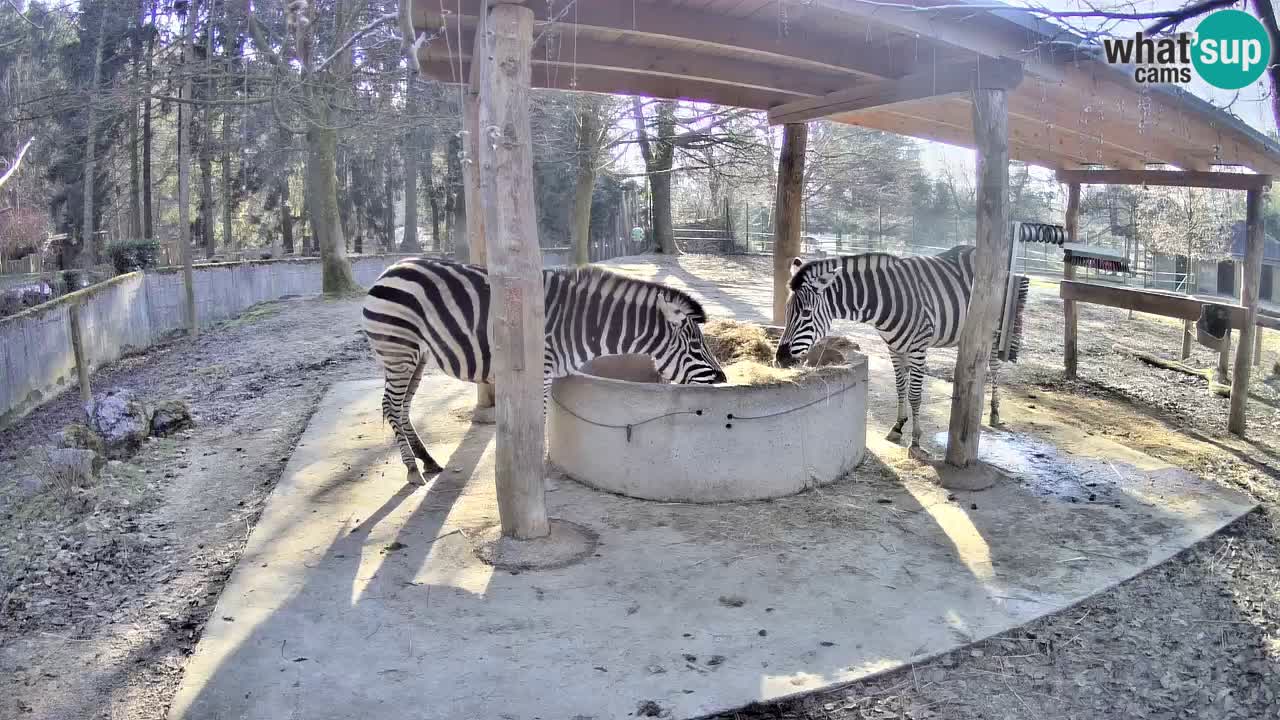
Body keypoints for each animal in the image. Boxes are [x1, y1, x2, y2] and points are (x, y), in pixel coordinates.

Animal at [366, 254, 727, 484]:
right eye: (696, 348)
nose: (724, 379)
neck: (584, 325)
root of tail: (391, 268)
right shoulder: (538, 372)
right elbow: (537, 424)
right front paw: (537, 472)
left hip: (417, 355)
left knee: (403, 407)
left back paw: (427, 461)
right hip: (399, 351)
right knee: (391, 405)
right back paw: (412, 470)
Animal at [768, 240, 1029, 453]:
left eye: (806, 313)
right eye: (787, 311)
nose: (779, 358)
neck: (883, 301)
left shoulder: (918, 348)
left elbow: (915, 394)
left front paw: (915, 439)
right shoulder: (893, 347)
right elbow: (900, 387)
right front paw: (897, 426)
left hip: (993, 330)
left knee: (994, 368)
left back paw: (994, 411)